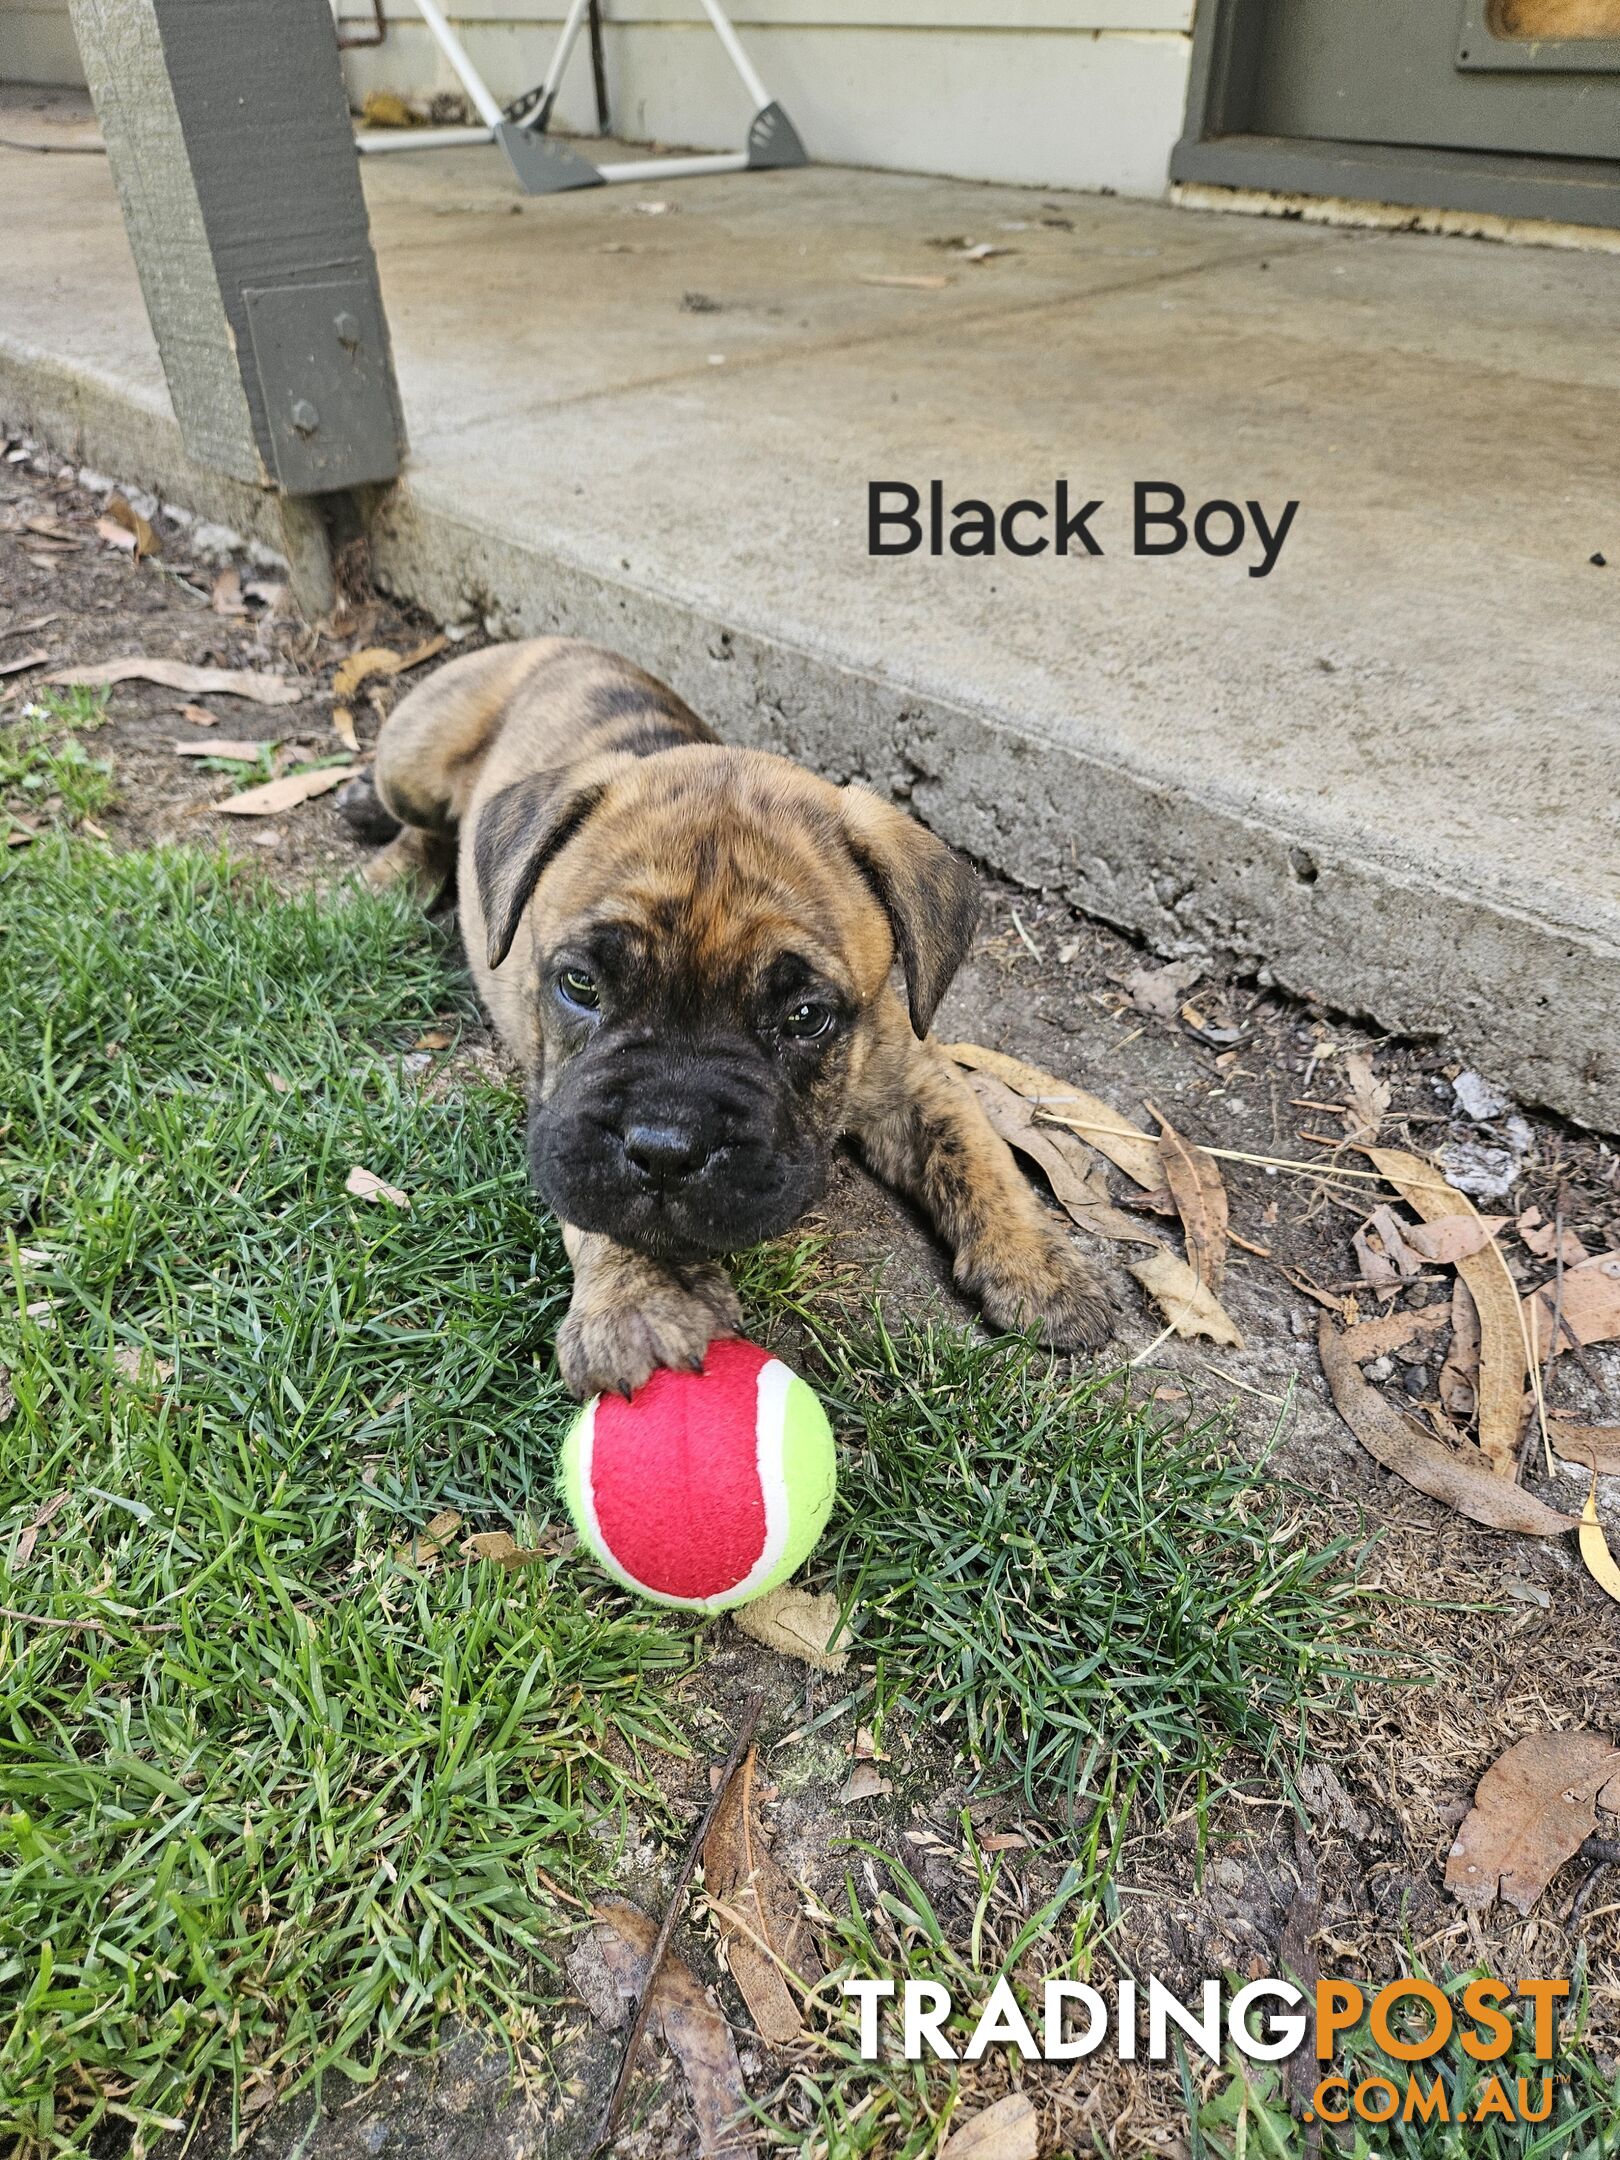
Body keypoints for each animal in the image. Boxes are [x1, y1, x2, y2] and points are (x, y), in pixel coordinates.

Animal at [354, 635, 1114, 1399]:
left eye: (806, 1018)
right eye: (579, 985)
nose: (665, 1149)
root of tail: (551, 642)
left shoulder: (915, 1075)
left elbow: (980, 1156)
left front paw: (1042, 1268)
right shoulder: (561, 1115)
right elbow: (601, 1199)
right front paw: (640, 1302)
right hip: (413, 760)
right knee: (420, 823)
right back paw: (389, 873)